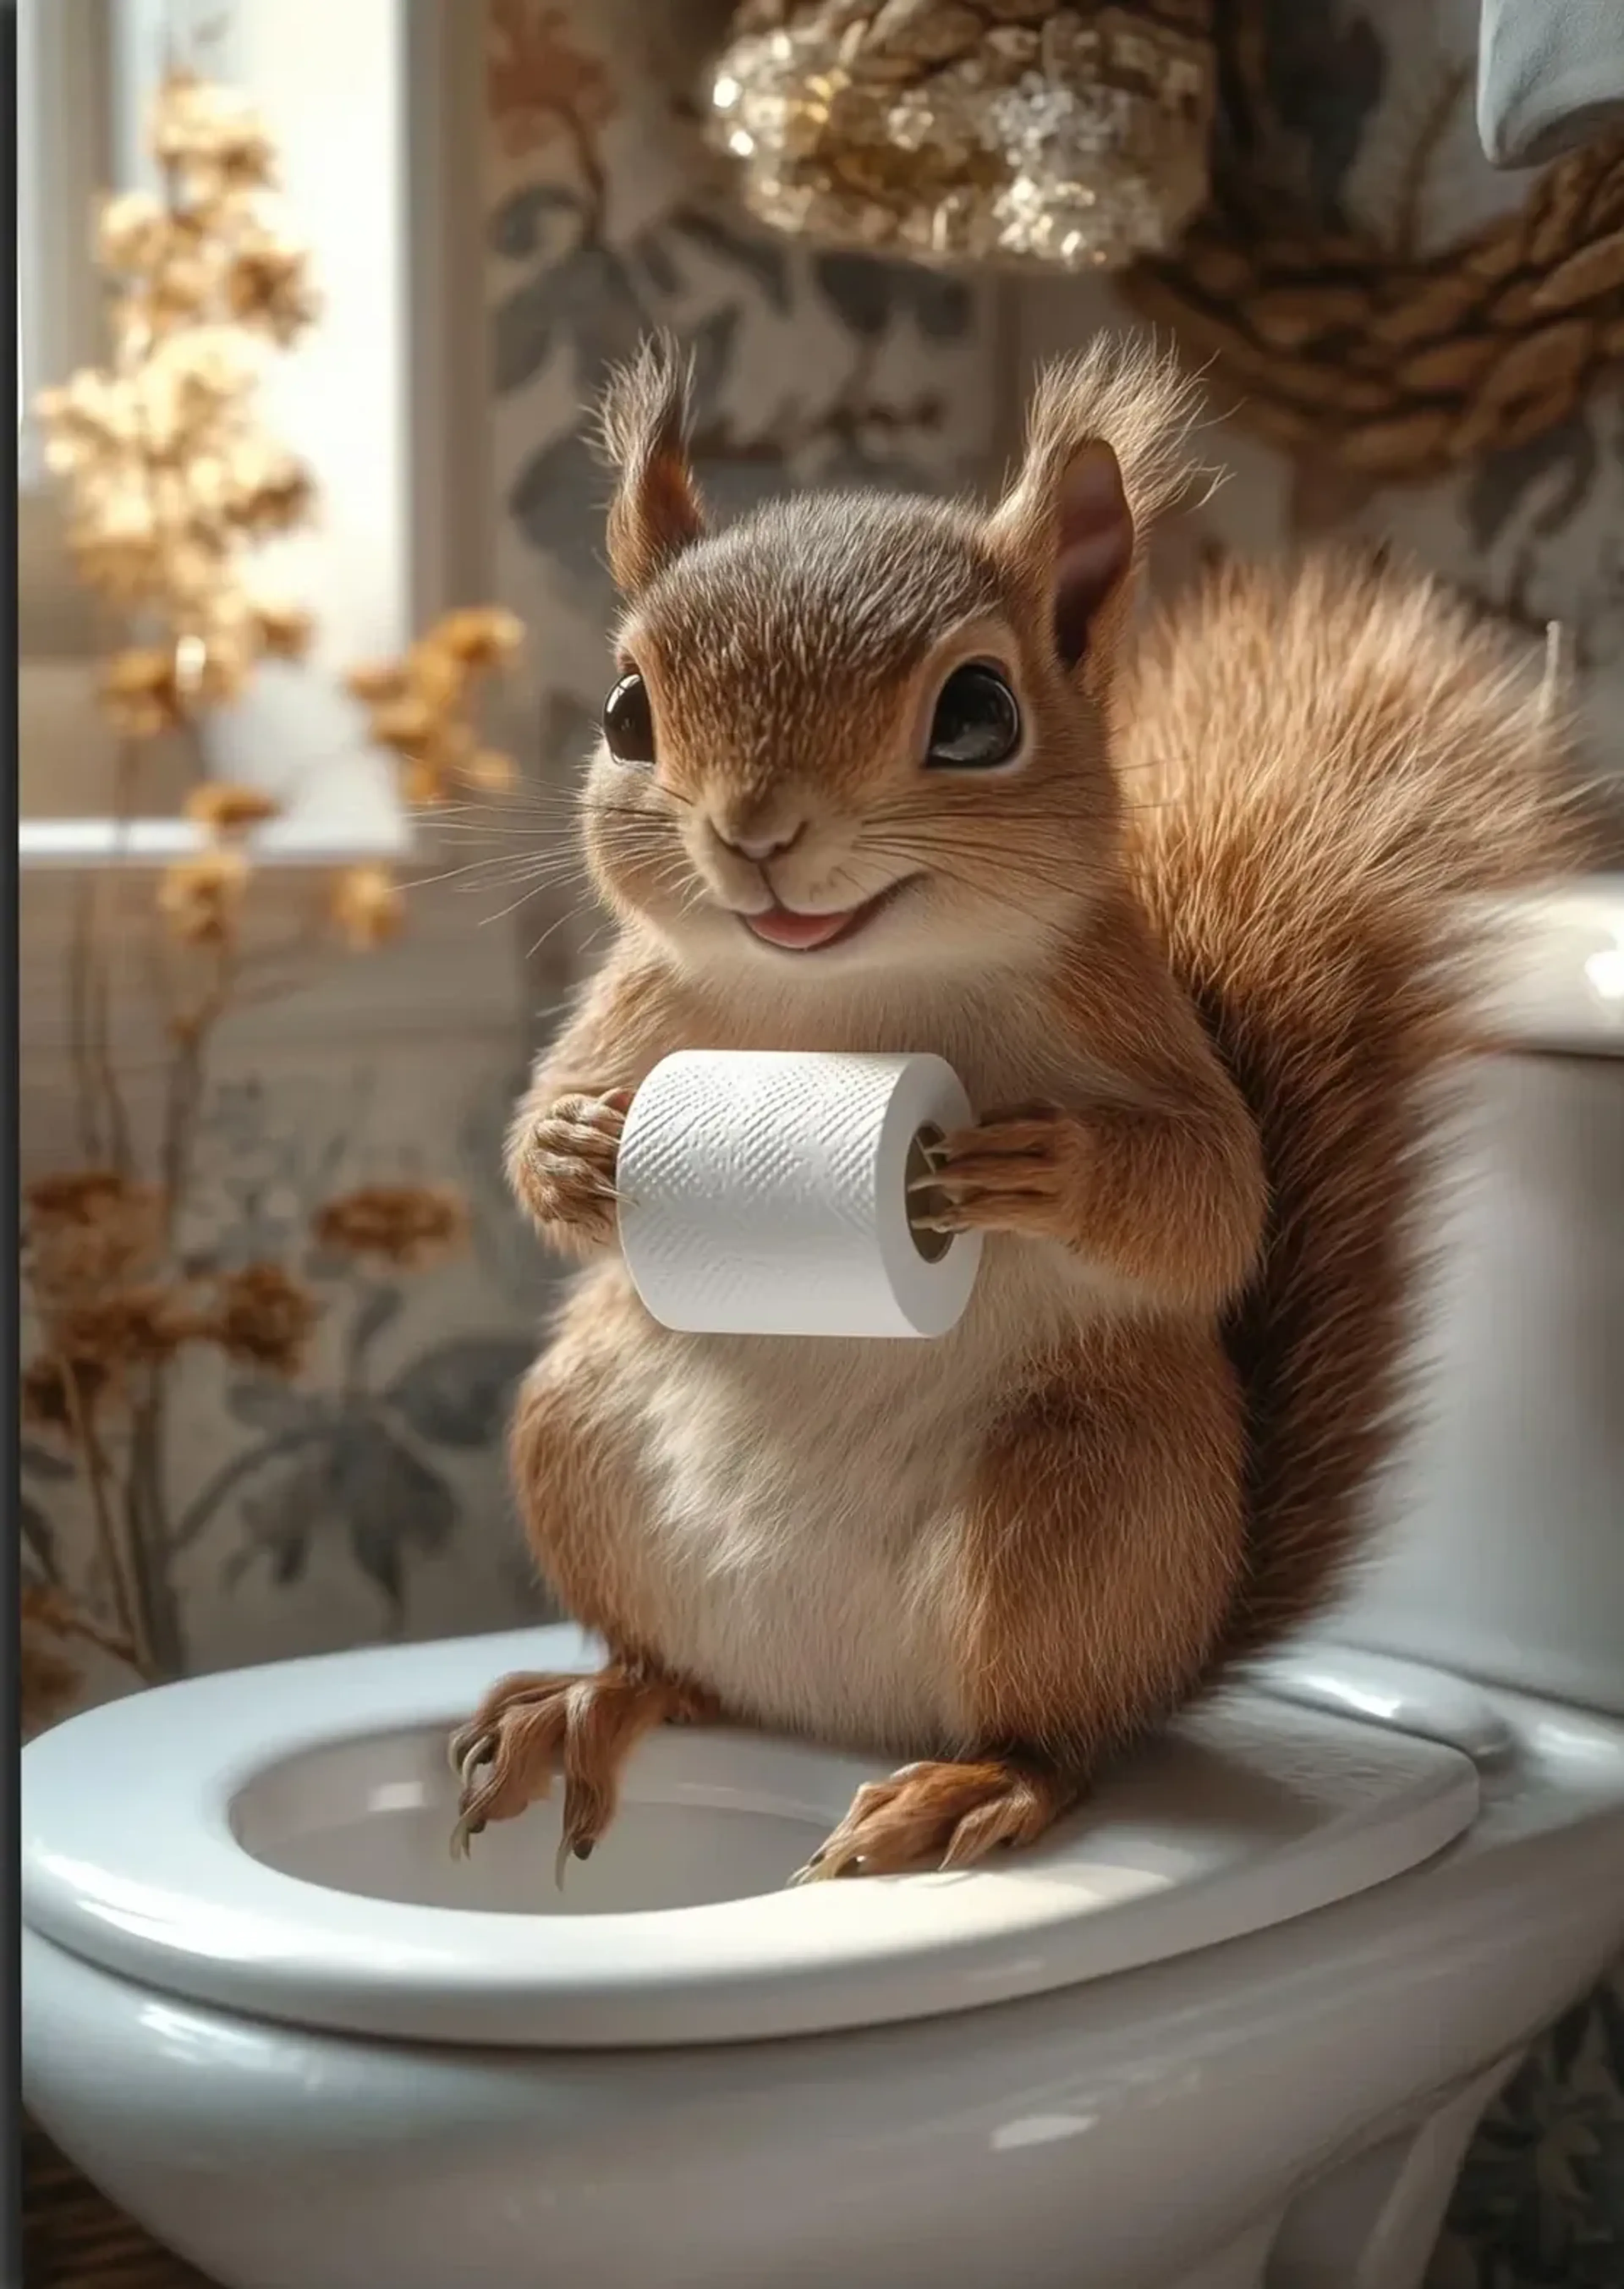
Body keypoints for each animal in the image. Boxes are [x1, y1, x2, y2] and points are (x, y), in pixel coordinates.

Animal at [449, 332, 1580, 1884]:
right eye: (628, 716)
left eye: (979, 714)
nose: (754, 833)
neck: (850, 993)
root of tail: (839, 1708)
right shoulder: (640, 1014)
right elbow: (527, 1143)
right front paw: (572, 1153)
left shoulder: (1128, 1014)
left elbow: (1215, 1201)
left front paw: (1052, 1170)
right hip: (578, 1438)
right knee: (680, 1674)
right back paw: (592, 1699)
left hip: (1083, 1505)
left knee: (1058, 1734)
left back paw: (974, 1784)